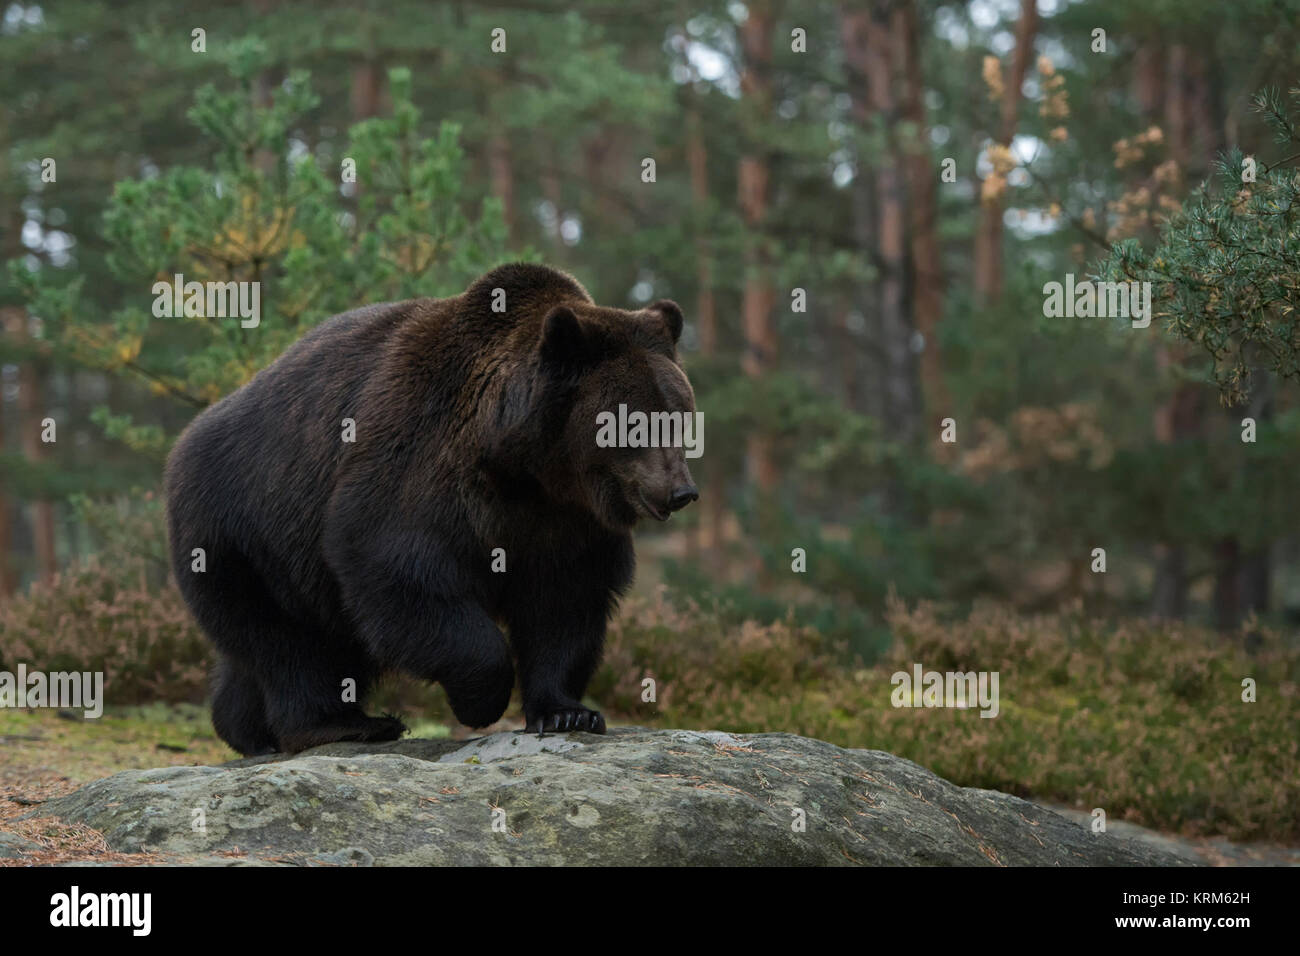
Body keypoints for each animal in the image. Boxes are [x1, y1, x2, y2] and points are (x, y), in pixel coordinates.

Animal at [164, 263, 698, 755]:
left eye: (679, 416)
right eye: (632, 422)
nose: (681, 491)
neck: (528, 468)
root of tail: (188, 437)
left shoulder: (568, 522)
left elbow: (565, 602)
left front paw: (567, 712)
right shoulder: (421, 462)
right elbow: (399, 568)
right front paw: (481, 700)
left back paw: (244, 727)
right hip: (246, 529)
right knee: (287, 641)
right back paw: (344, 723)